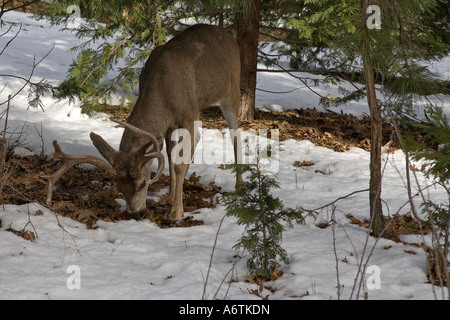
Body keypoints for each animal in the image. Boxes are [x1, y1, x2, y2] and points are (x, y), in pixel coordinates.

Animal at [45, 24, 241, 220]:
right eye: (119, 187)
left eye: (142, 183)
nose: (136, 213)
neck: (163, 91)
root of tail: (227, 35)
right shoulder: (168, 126)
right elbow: (169, 156)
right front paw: (170, 197)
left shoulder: (190, 116)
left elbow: (180, 164)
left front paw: (176, 212)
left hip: (232, 90)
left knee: (235, 134)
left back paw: (239, 186)